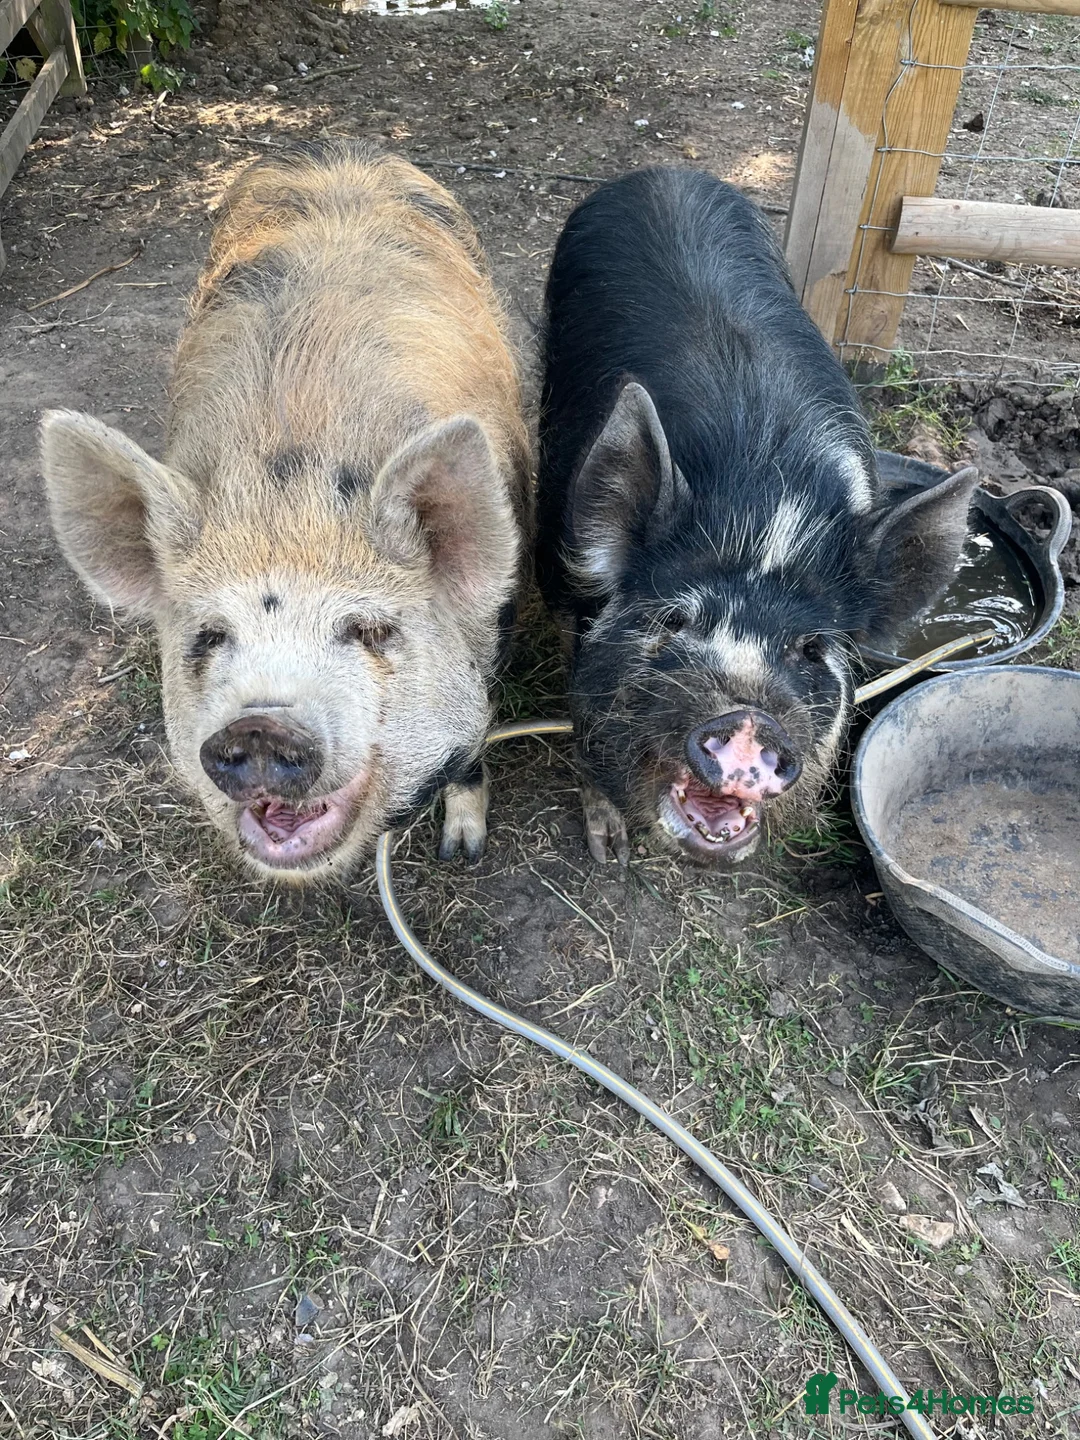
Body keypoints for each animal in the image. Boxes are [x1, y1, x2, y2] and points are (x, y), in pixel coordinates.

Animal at [41, 141, 530, 881]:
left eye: (370, 630)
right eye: (210, 636)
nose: (260, 724)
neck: (287, 479)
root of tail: (340, 155)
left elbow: (473, 740)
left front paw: (462, 851)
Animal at [536, 167, 978, 865]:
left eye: (813, 648)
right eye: (674, 619)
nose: (748, 722)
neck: (765, 512)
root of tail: (663, 173)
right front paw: (611, 851)